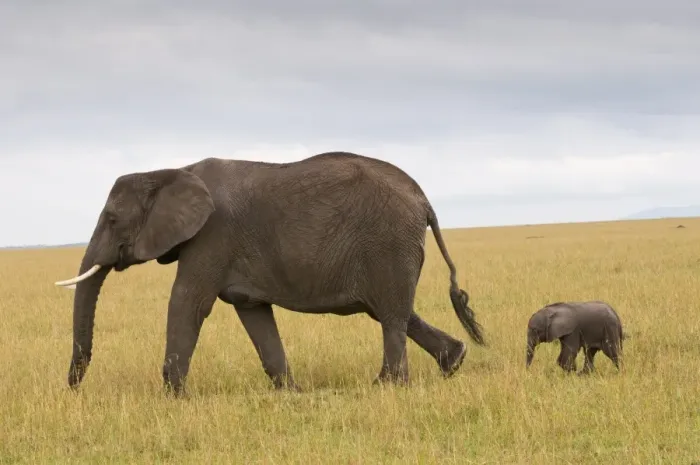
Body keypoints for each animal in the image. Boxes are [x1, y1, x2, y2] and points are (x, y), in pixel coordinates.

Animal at [54, 151, 486, 396]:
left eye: (112, 219)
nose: (72, 391)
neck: (171, 170)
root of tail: (424, 200)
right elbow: (255, 314)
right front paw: (290, 393)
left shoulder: (213, 235)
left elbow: (188, 301)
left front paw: (173, 397)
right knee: (392, 310)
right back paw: (454, 362)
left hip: (388, 242)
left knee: (391, 315)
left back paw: (386, 387)